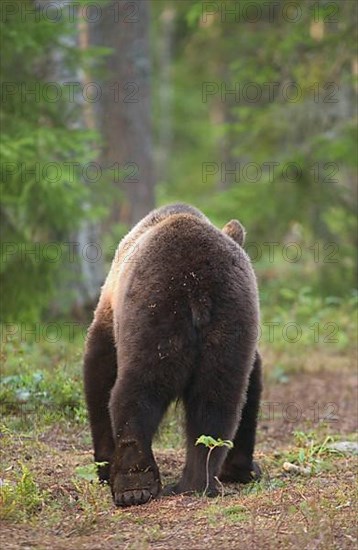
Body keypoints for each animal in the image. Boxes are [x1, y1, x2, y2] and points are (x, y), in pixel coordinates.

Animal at [84, 204, 262, 508]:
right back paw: (197, 481)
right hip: (228, 323)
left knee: (137, 391)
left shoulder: (110, 319)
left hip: (155, 314)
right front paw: (244, 469)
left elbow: (99, 371)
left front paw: (104, 466)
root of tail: (198, 289)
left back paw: (133, 486)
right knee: (218, 401)